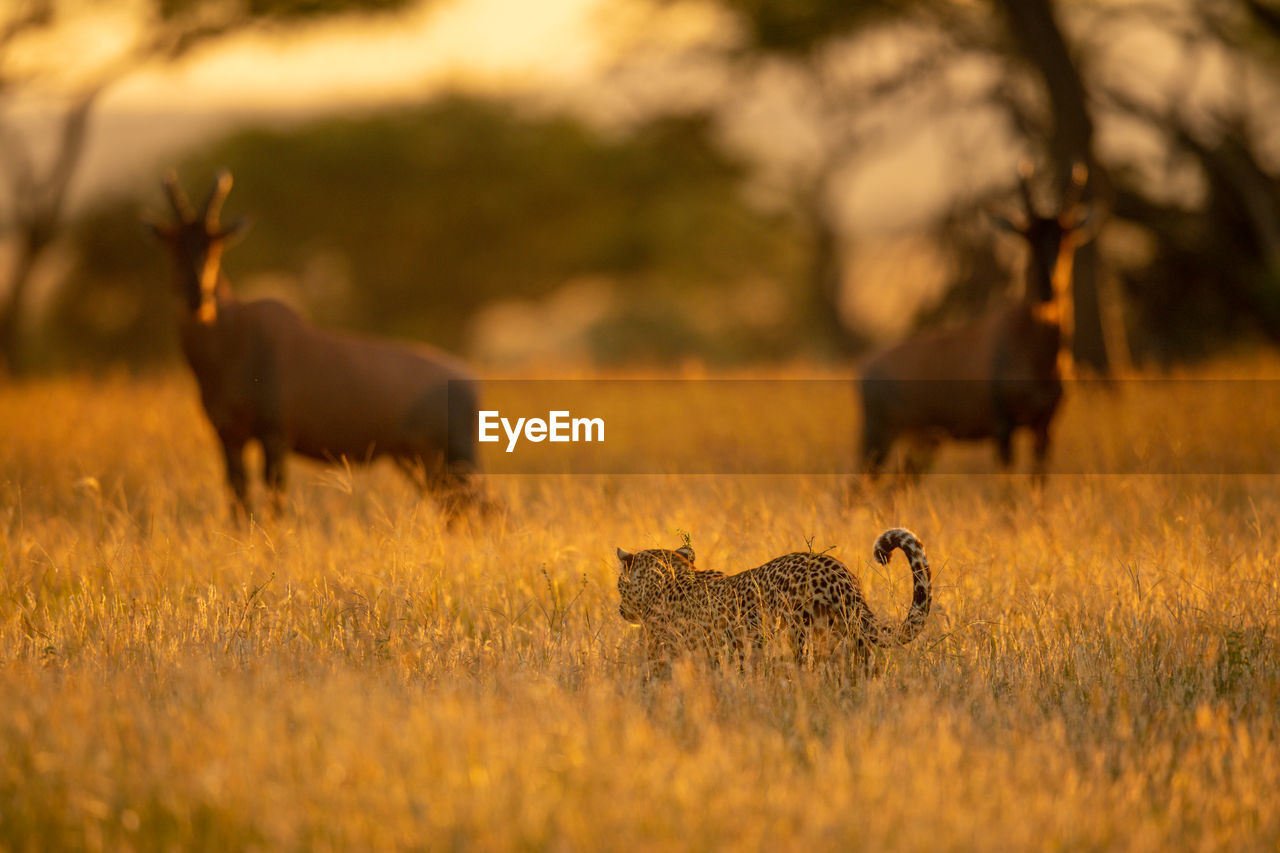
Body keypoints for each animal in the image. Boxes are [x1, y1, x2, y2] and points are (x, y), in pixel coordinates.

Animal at [148, 169, 483, 517]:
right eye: (174, 244)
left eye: (216, 244)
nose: (198, 300)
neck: (237, 338)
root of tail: (467, 378)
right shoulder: (228, 437)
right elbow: (238, 495)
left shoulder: (275, 436)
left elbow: (274, 497)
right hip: (417, 459)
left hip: (456, 456)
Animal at [860, 159, 1090, 479]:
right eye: (1026, 235)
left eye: (1066, 238)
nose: (1048, 291)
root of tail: (867, 367)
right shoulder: (1002, 426)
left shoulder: (1045, 428)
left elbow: (1038, 480)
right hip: (879, 436)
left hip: (925, 442)